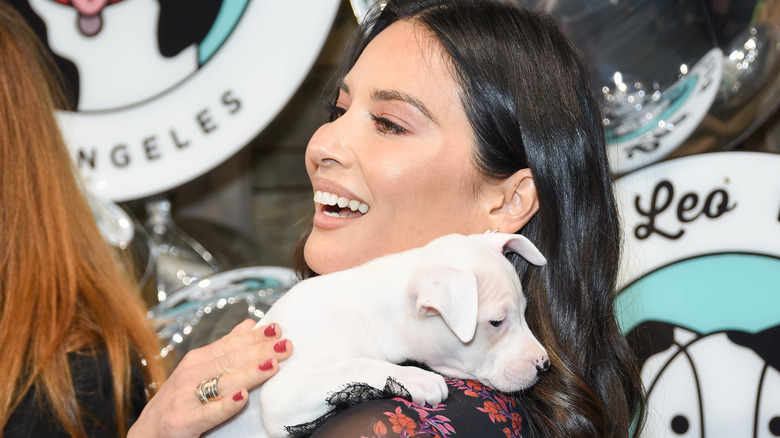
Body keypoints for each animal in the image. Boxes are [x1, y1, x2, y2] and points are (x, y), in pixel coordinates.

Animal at [207, 231, 548, 436]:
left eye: (524, 312)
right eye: (497, 322)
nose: (544, 364)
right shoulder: (280, 394)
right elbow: (357, 363)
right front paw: (416, 378)